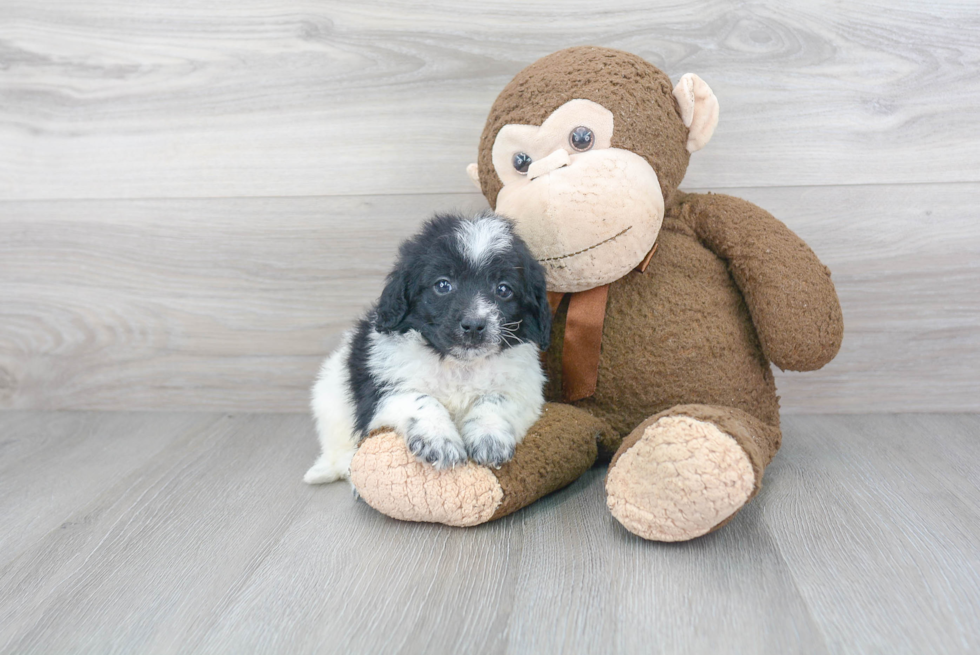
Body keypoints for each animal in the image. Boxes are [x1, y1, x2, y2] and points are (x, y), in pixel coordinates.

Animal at [304, 213, 552, 484]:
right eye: (443, 285)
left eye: (504, 289)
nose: (474, 325)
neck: (459, 366)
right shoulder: (384, 389)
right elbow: (421, 399)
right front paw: (439, 440)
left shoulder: (526, 389)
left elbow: (495, 399)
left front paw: (489, 435)